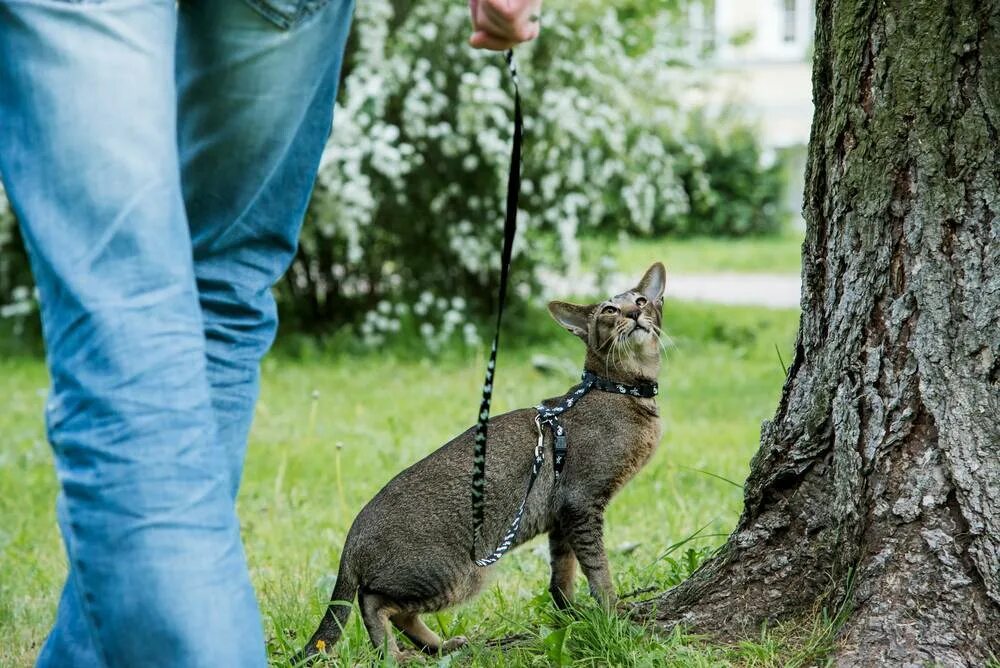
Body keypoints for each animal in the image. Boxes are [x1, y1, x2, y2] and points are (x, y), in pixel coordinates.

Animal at [300, 262, 668, 664]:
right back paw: (393, 655)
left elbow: (562, 575)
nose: (633, 313)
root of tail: (352, 535)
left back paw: (438, 646)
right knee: (373, 601)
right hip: (456, 573)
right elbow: (598, 568)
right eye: (610, 310)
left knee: (397, 610)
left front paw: (570, 615)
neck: (620, 390)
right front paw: (612, 611)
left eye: (641, 300)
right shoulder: (581, 502)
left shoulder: (561, 516)